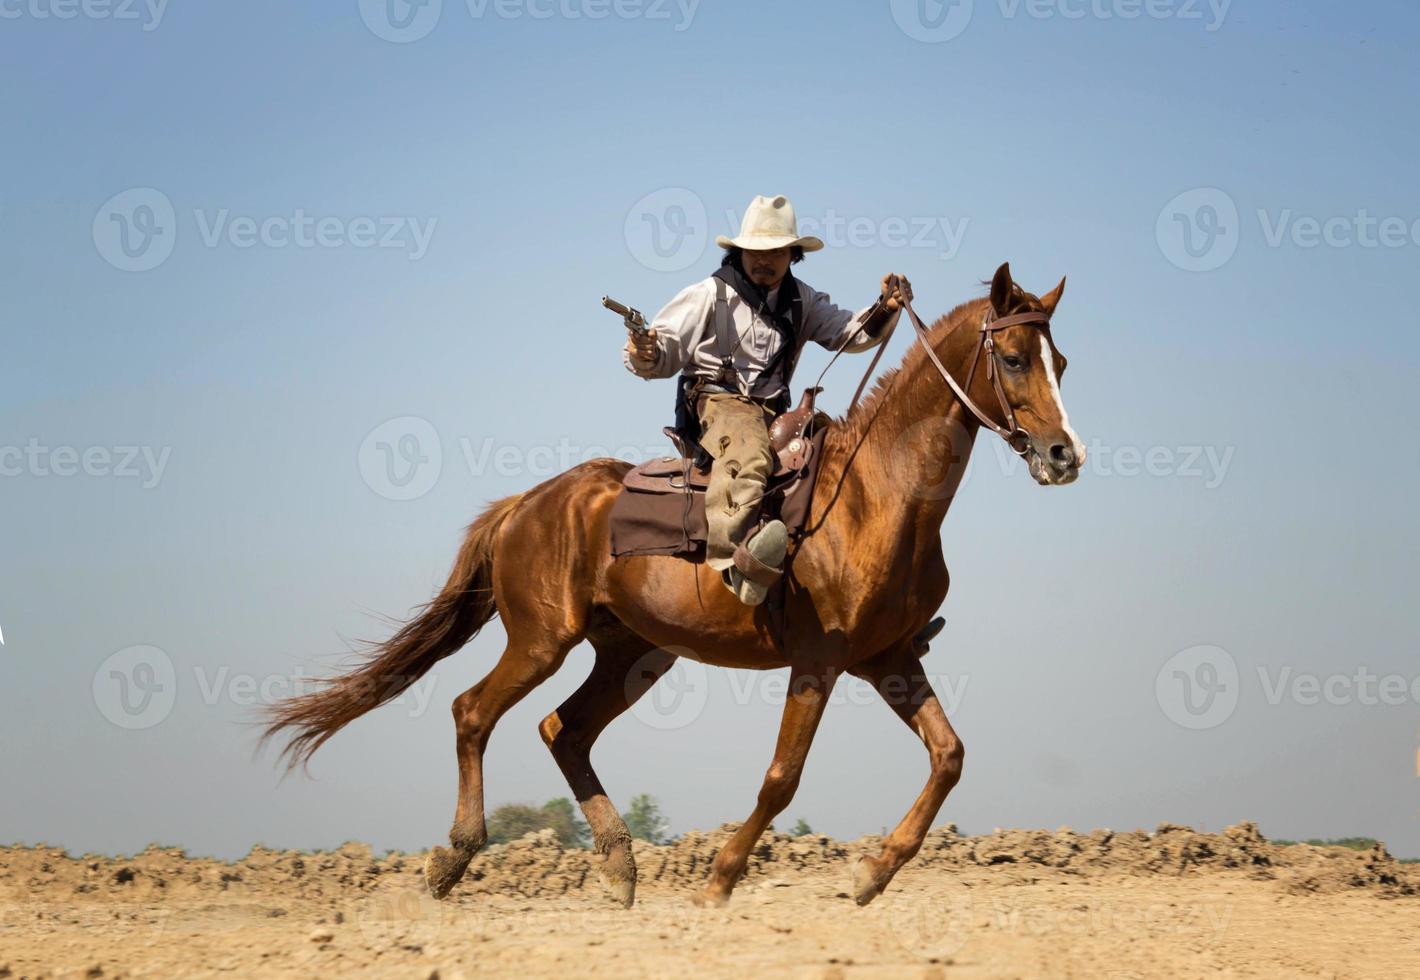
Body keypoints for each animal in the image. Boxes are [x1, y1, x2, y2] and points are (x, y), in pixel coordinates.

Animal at [266, 261, 1084, 908]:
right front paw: (719, 880)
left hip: (633, 654)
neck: (874, 498)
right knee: (474, 712)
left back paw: (620, 868)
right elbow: (782, 777)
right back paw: (455, 858)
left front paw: (872, 875)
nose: (1063, 454)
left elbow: (949, 756)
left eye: (1062, 361)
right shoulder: (819, 661)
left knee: (565, 730)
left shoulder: (890, 657)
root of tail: (525, 504)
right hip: (542, 640)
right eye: (1015, 358)